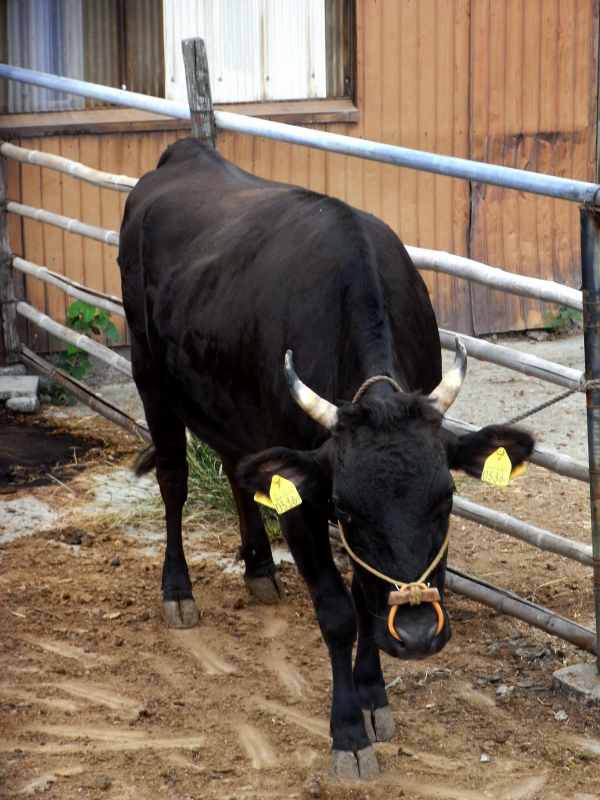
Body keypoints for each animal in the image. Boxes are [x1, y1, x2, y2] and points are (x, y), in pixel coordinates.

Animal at [118, 139, 536, 780]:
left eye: (446, 500)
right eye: (346, 506)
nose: (418, 633)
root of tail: (183, 155)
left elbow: (366, 601)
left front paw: (374, 697)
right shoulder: (306, 506)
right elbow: (339, 611)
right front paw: (348, 733)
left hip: (230, 404)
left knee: (239, 471)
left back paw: (259, 570)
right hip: (151, 378)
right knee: (173, 480)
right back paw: (178, 590)